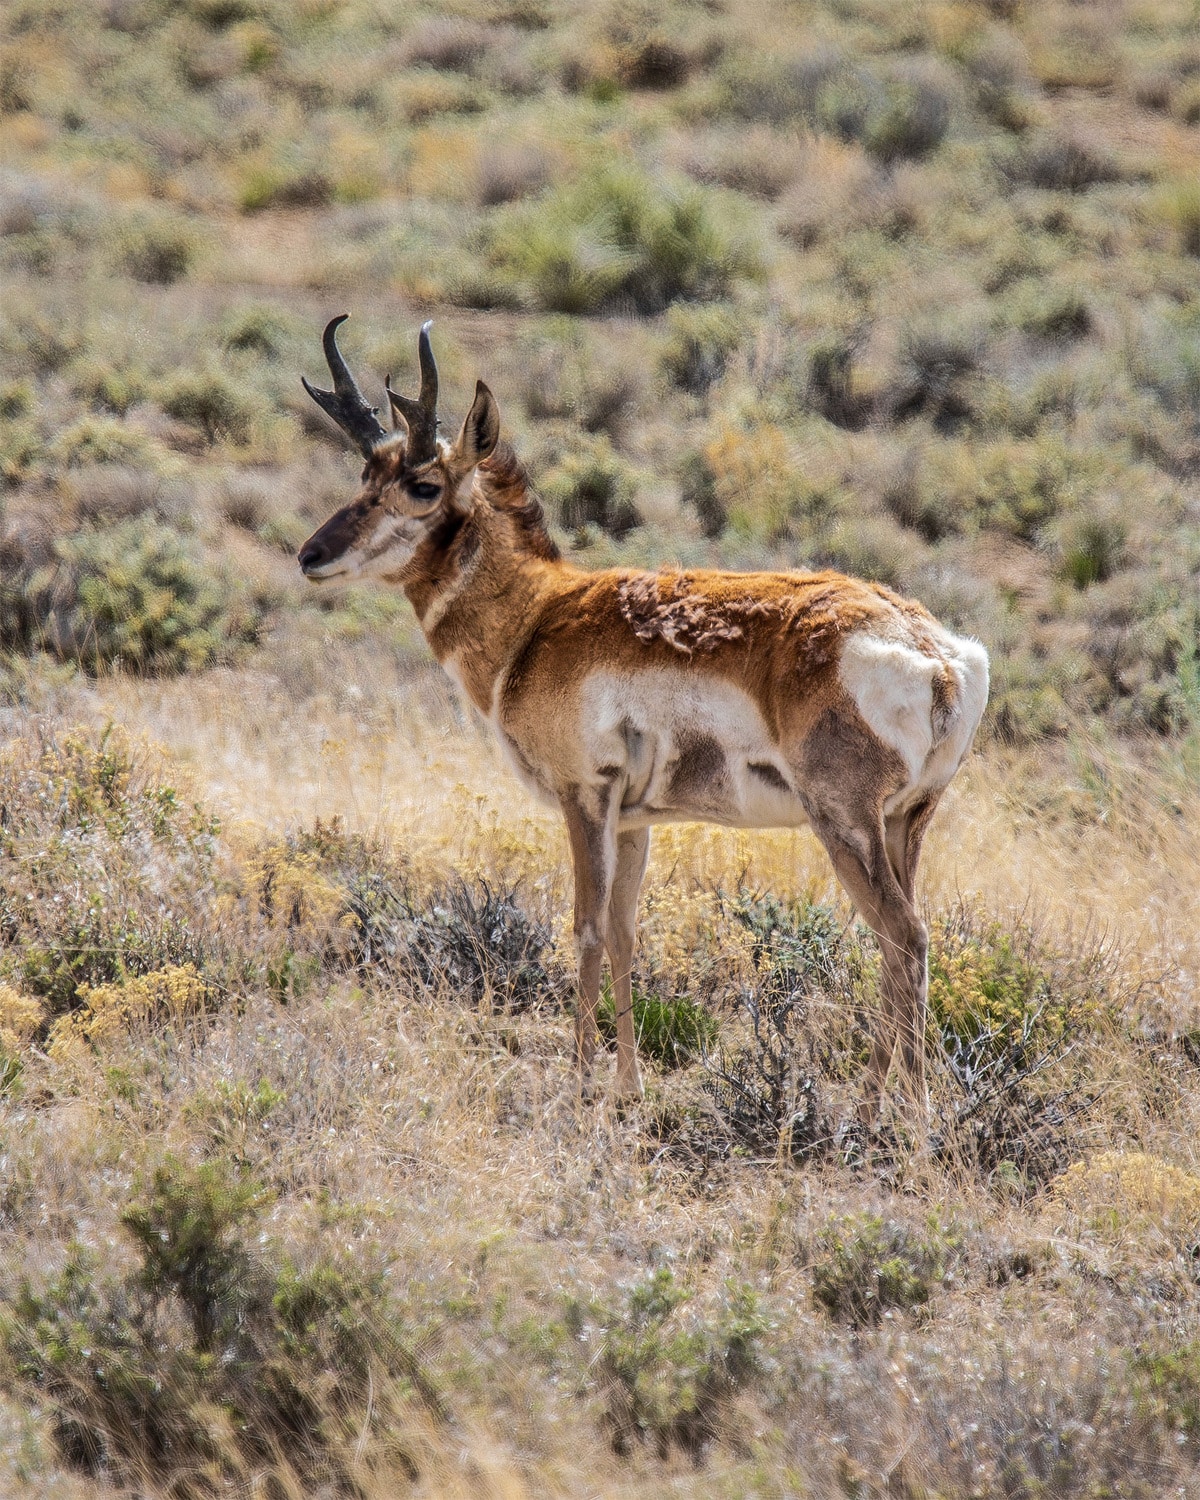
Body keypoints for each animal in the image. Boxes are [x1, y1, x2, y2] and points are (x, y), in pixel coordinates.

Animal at [297, 317, 989, 1122]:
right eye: (364, 477)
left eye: (421, 484)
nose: (311, 555)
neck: (538, 618)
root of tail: (937, 653)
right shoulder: (634, 822)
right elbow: (628, 935)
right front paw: (628, 1087)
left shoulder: (585, 800)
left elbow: (587, 930)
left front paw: (577, 1087)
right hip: (905, 823)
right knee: (900, 942)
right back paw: (890, 1104)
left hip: (844, 822)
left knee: (903, 937)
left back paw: (895, 1114)